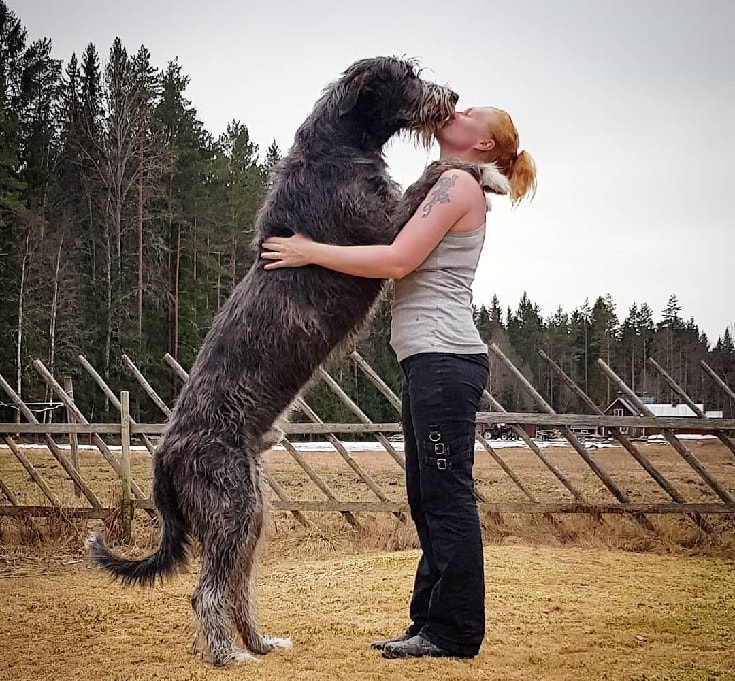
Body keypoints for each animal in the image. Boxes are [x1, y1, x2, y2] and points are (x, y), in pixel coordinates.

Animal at [86, 57, 500, 664]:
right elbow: (434, 171)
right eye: (406, 73)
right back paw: (226, 654)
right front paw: (483, 171)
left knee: (237, 584)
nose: (450, 95)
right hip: (232, 507)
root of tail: (164, 453)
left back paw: (259, 642)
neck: (338, 149)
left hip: (251, 513)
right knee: (207, 591)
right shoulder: (382, 230)